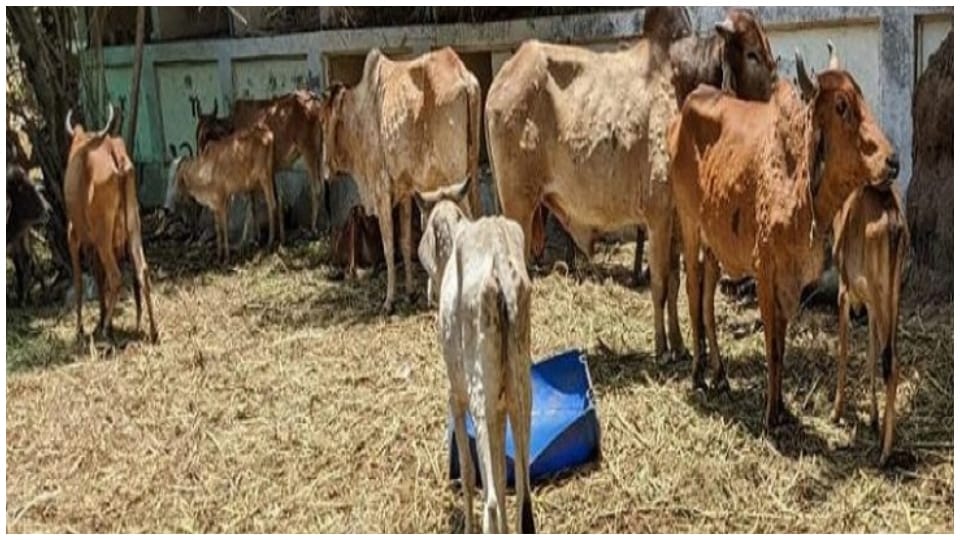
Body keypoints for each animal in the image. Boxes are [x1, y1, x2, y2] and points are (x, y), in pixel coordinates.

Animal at [64, 104, 158, 342]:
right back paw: (153, 330)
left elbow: (80, 281)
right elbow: (99, 278)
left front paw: (81, 328)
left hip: (102, 238)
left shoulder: (74, 236)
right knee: (142, 271)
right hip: (132, 229)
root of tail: (114, 152)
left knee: (115, 277)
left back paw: (106, 329)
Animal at [165, 124, 280, 263]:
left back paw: (270, 242)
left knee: (271, 204)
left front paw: (226, 257)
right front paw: (219, 255)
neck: (204, 171)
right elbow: (218, 229)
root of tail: (267, 133)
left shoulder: (221, 201)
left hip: (265, 177)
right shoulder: (213, 205)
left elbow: (223, 227)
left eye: (175, 176)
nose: (167, 208)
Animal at [438, 215, 534, 533]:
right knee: (522, 492)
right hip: (521, 394)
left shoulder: (456, 399)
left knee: (490, 500)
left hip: (478, 396)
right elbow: (503, 474)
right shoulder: (501, 409)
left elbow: (469, 474)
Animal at [669, 52, 900, 430]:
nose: (892, 161)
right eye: (841, 106)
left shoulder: (791, 279)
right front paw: (770, 414)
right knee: (692, 290)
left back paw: (720, 374)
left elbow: (782, 340)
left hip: (714, 240)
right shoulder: (765, 270)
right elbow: (772, 345)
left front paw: (782, 407)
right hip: (688, 222)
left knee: (706, 298)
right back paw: (698, 374)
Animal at [831, 183, 908, 466]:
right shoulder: (869, 305)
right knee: (888, 355)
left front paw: (836, 411)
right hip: (892, 293)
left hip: (878, 291)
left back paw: (885, 453)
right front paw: (874, 417)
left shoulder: (844, 292)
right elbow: (870, 353)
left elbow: (844, 350)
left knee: (891, 362)